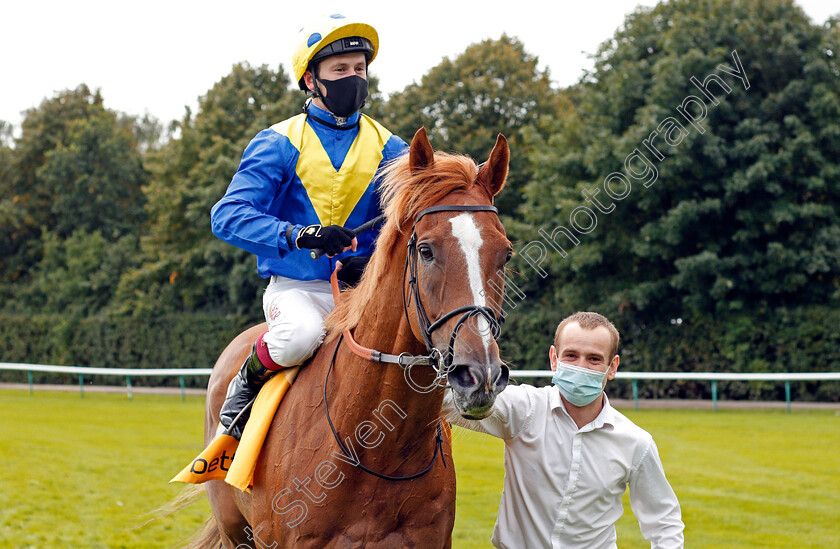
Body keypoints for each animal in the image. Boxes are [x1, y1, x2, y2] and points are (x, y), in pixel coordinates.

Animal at [189, 128, 508, 548]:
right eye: (425, 250)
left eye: (505, 254)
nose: (480, 376)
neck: (377, 450)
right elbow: (232, 207)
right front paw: (320, 236)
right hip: (234, 530)